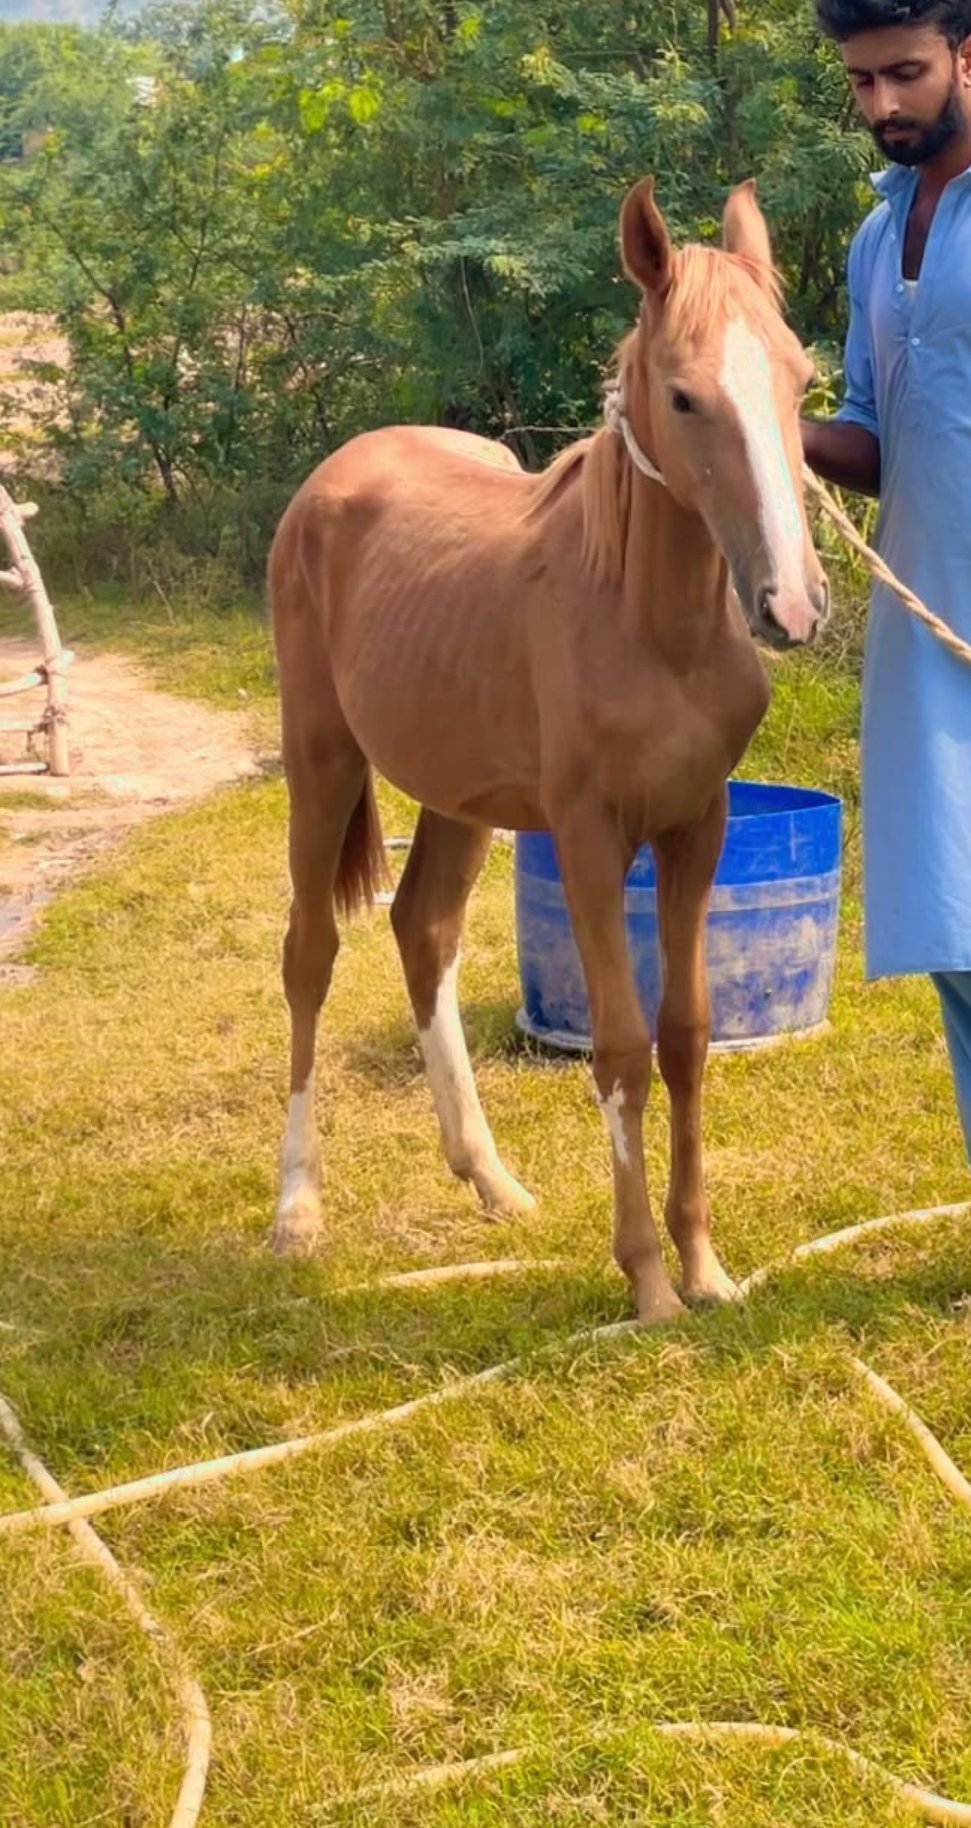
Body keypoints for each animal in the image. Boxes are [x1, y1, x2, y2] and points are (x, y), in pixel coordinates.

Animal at [267, 175, 829, 1324]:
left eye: (797, 379)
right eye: (683, 396)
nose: (791, 606)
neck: (647, 625)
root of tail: (332, 478)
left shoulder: (697, 827)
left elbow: (685, 1036)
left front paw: (706, 1268)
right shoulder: (586, 840)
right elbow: (616, 1047)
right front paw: (648, 1286)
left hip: (458, 796)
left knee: (421, 930)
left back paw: (490, 1180)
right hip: (322, 762)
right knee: (311, 952)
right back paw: (297, 1213)